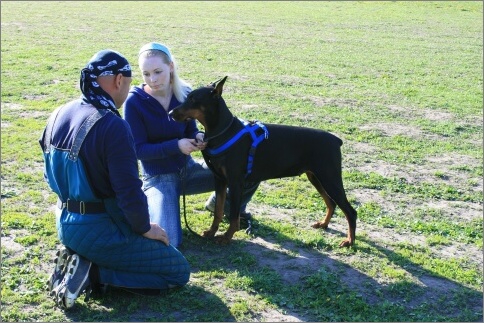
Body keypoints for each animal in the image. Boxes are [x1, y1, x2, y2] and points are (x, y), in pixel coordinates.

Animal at [168, 77, 358, 249]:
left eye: (193, 99)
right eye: (187, 97)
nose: (170, 114)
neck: (223, 131)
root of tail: (336, 140)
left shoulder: (235, 182)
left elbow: (234, 215)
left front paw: (227, 237)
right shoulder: (220, 179)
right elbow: (219, 211)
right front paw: (212, 232)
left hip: (329, 177)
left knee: (350, 211)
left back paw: (349, 241)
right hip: (316, 177)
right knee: (331, 203)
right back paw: (324, 224)